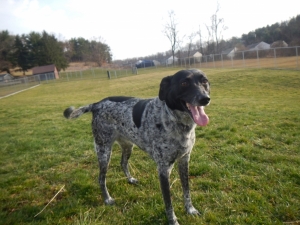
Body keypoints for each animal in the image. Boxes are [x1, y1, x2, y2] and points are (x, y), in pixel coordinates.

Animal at [63, 69, 211, 224]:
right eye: (184, 83)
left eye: (205, 81)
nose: (205, 99)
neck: (176, 121)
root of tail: (97, 104)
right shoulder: (163, 169)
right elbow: (168, 203)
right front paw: (173, 221)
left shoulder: (184, 160)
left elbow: (186, 190)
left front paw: (190, 210)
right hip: (103, 151)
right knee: (101, 178)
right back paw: (107, 199)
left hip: (128, 146)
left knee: (123, 163)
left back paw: (130, 179)